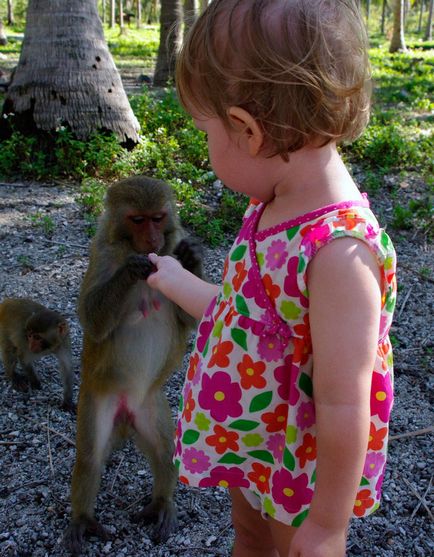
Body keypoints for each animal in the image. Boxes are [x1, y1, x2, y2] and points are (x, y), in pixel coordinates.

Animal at [63, 176, 203, 552]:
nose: (152, 240)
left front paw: (193, 258)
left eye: (157, 218)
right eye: (138, 220)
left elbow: (190, 318)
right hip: (97, 401)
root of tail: (126, 413)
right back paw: (82, 518)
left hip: (150, 404)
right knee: (89, 457)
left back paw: (162, 503)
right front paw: (130, 270)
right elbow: (92, 321)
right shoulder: (103, 256)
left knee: (164, 450)